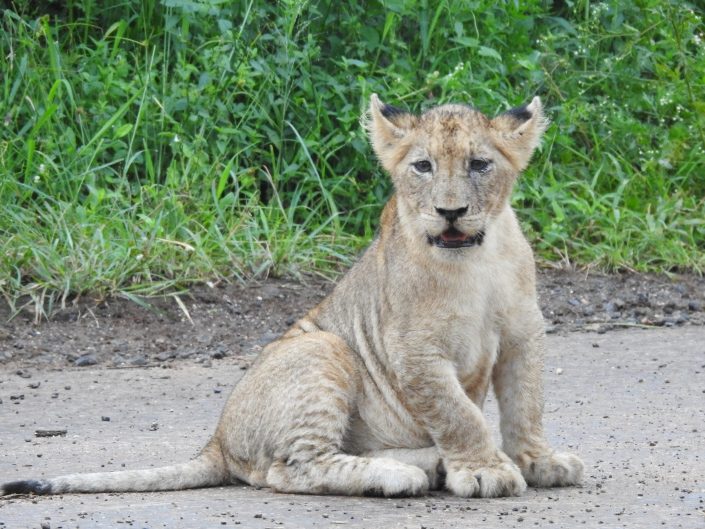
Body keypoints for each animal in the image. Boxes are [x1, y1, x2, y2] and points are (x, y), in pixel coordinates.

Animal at [1, 94, 583, 498]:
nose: (451, 212)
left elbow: (526, 403)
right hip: (322, 348)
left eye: (479, 165)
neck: (474, 261)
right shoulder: (414, 350)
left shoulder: (523, 333)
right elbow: (458, 414)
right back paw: (396, 475)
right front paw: (485, 471)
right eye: (423, 166)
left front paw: (538, 462)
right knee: (291, 468)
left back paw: (426, 464)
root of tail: (216, 440)